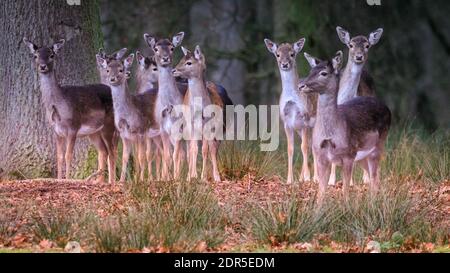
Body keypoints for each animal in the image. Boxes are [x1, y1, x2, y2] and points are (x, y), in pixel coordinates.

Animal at [264, 37, 316, 184]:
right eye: (277, 54)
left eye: (292, 54)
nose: (285, 64)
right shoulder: (287, 122)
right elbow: (290, 149)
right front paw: (289, 180)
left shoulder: (305, 119)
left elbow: (304, 147)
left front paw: (307, 178)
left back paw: (315, 178)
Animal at [298, 52, 390, 203]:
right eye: (311, 71)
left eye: (324, 73)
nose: (301, 85)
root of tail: (388, 109)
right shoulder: (320, 155)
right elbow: (321, 193)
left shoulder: (348, 155)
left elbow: (345, 191)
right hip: (363, 156)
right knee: (373, 178)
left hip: (378, 145)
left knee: (375, 178)